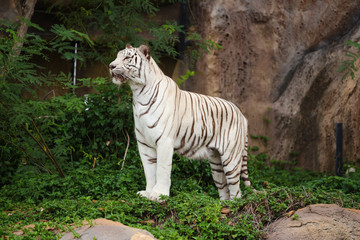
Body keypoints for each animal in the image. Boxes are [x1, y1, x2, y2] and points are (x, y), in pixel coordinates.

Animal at [108, 44, 252, 201]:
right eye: (117, 56)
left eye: (127, 57)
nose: (111, 66)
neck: (138, 92)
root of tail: (242, 115)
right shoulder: (144, 143)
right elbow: (149, 170)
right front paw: (148, 193)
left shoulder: (164, 141)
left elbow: (162, 169)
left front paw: (159, 195)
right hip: (216, 161)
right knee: (223, 188)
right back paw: (223, 204)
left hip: (230, 158)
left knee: (236, 191)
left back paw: (234, 203)